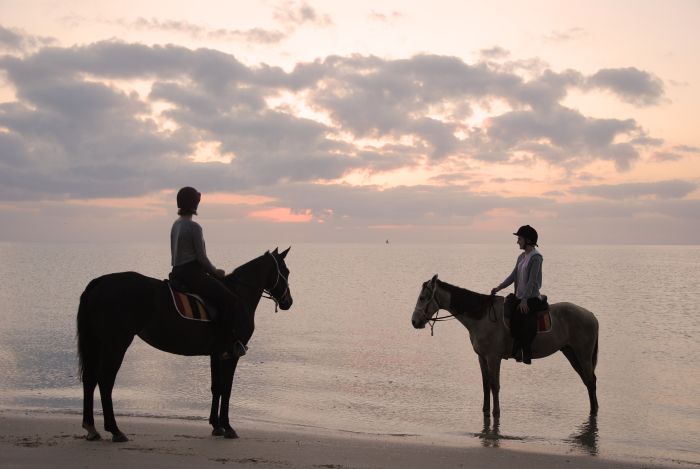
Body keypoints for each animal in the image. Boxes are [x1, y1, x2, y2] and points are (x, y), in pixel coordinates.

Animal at [76, 247, 292, 440]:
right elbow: (226, 388)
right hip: (116, 343)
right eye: (286, 271)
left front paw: (216, 425)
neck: (239, 294)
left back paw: (91, 428)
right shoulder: (232, 354)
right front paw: (228, 427)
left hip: (98, 341)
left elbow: (216, 387)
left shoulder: (217, 353)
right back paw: (114, 430)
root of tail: (100, 282)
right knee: (105, 380)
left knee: (90, 379)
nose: (288, 302)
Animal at [410, 274, 600, 416]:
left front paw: (496, 412)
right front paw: (486, 410)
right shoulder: (482, 357)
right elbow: (486, 384)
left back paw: (594, 411)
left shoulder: (494, 357)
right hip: (571, 353)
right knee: (587, 380)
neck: (482, 316)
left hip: (583, 355)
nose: (414, 321)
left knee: (591, 381)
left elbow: (495, 385)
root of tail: (591, 315)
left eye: (422, 297)